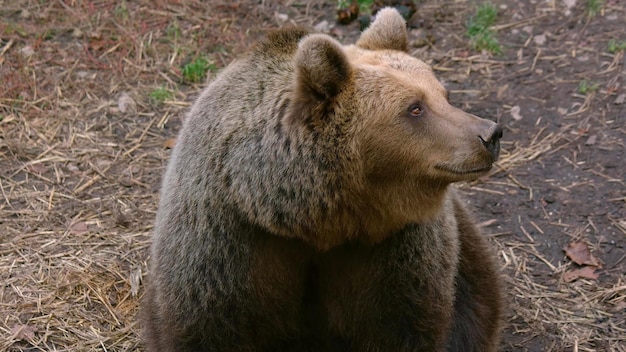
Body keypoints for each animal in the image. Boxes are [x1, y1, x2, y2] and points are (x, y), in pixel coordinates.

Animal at [141, 6, 502, 350]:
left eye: (444, 95)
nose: (490, 134)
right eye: (414, 108)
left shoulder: (393, 251)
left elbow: (404, 323)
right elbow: (209, 326)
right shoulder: (227, 242)